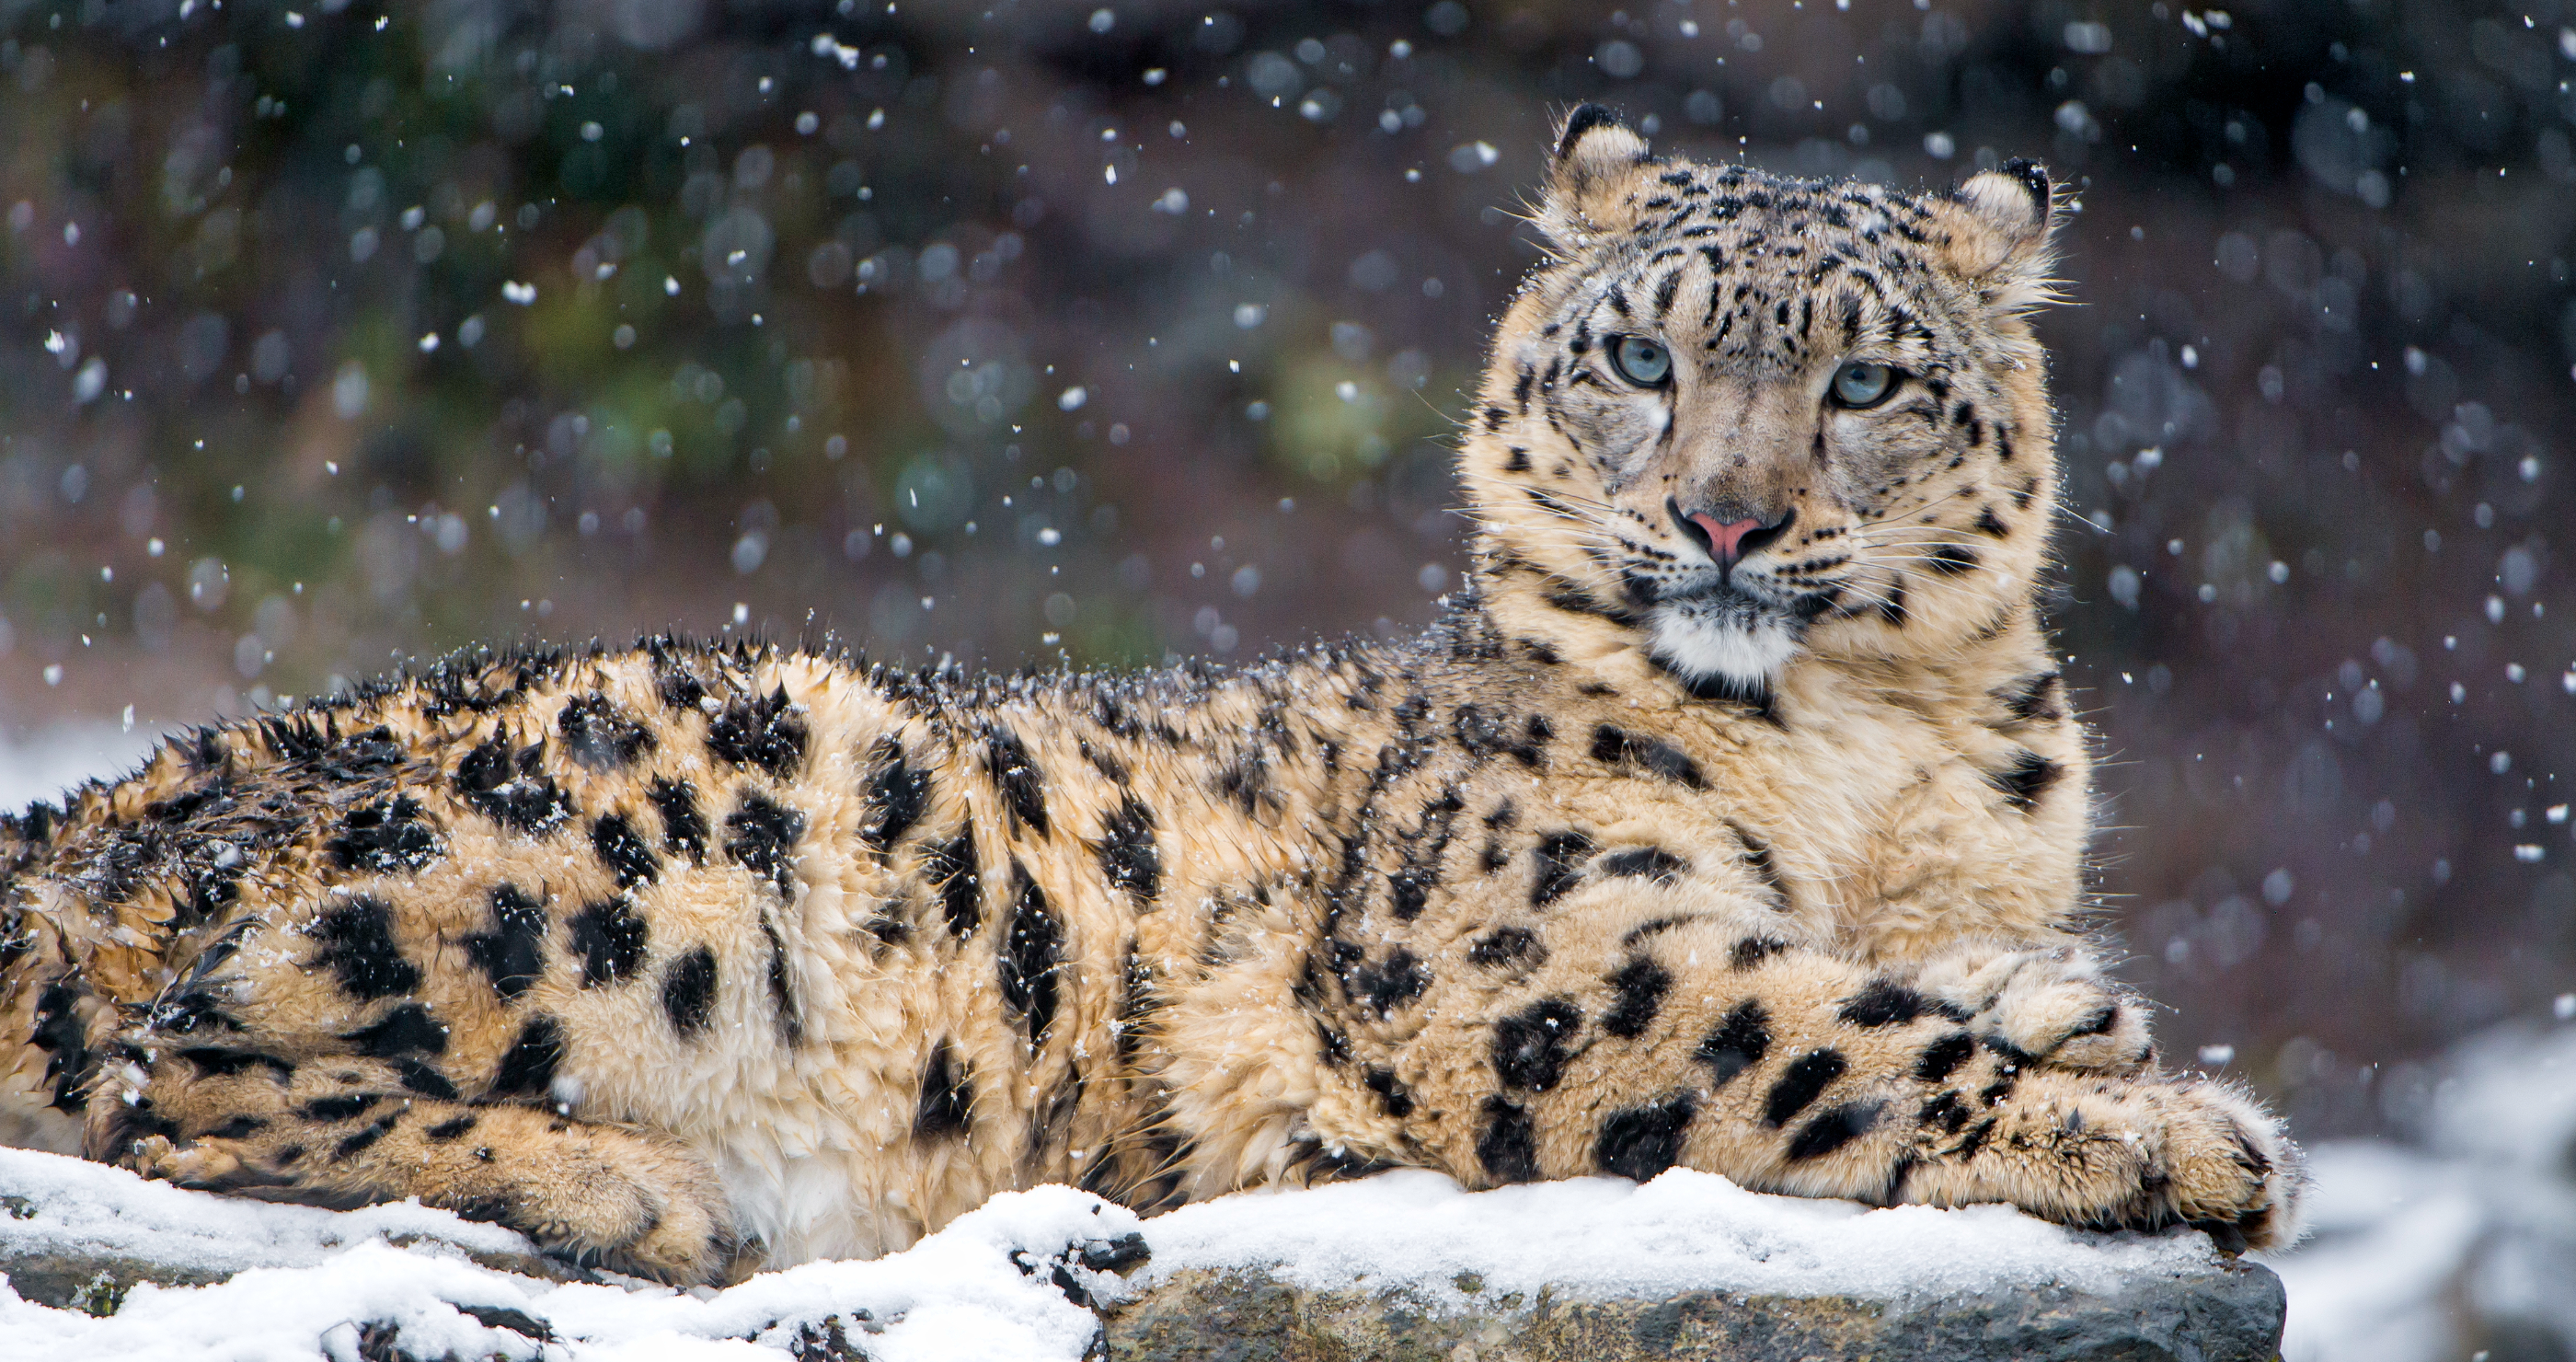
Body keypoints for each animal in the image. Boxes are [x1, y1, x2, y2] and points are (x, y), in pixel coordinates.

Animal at [0, 107, 2302, 1286]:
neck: (1868, 755)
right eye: (1640, 357)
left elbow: (1911, 974)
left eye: (1866, 380)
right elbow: (1809, 1032)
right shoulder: (1511, 942)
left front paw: (2074, 1009)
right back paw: (621, 1184)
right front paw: (2166, 1131)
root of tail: (97, 800)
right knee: (161, 1070)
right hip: (680, 820)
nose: (1725, 521)